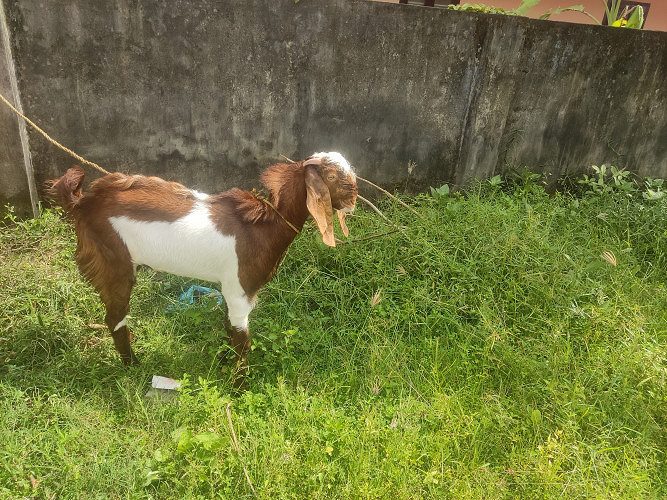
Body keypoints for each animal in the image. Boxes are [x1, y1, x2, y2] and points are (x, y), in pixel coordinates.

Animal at [47, 152, 358, 385]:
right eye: (332, 177)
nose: (353, 200)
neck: (264, 228)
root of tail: (84, 202)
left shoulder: (228, 287)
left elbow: (228, 327)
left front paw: (223, 362)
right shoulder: (240, 290)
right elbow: (243, 340)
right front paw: (239, 386)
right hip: (113, 260)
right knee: (115, 317)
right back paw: (132, 365)